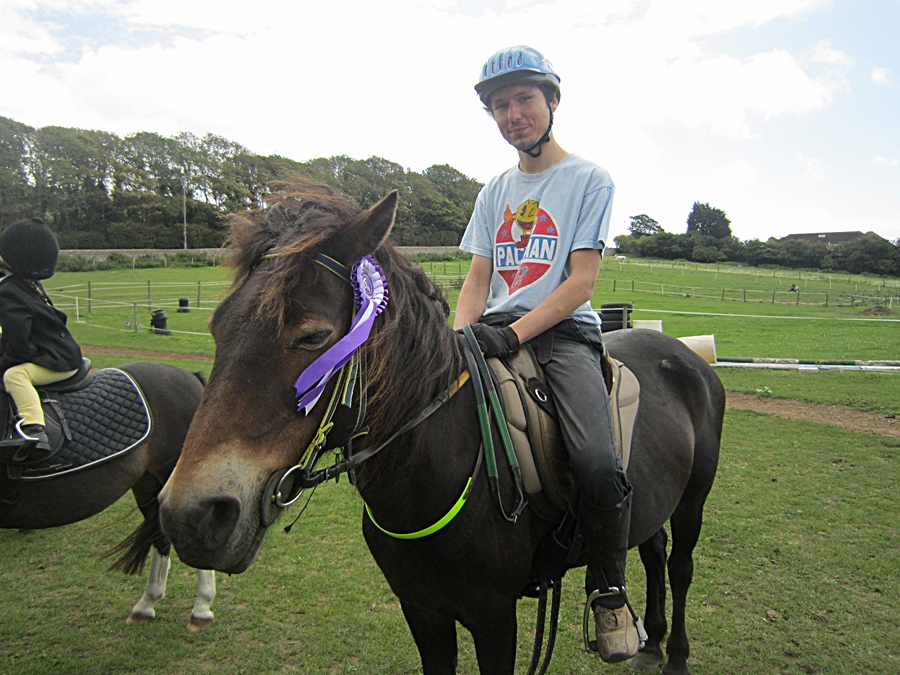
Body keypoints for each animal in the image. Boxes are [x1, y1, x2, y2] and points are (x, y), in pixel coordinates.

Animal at [158, 183, 725, 674]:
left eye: (312, 336)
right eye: (217, 326)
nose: (191, 516)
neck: (438, 464)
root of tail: (686, 355)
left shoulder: (494, 617)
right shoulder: (422, 608)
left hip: (691, 499)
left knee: (680, 566)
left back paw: (673, 653)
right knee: (651, 548)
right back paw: (649, 641)